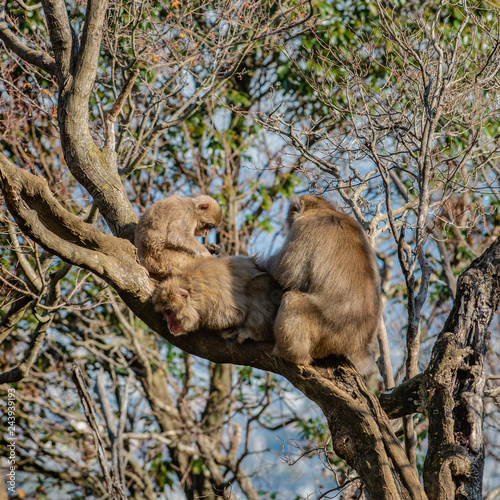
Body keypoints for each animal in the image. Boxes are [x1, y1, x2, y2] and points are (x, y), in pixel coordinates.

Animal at [150, 254, 284, 344]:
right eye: (165, 313)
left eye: (170, 312)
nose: (169, 326)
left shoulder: (215, 306)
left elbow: (235, 315)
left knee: (259, 283)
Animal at [262, 195, 378, 368]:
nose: (288, 221)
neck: (324, 209)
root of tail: (360, 344)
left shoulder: (304, 226)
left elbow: (286, 274)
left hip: (329, 331)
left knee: (292, 301)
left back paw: (291, 355)